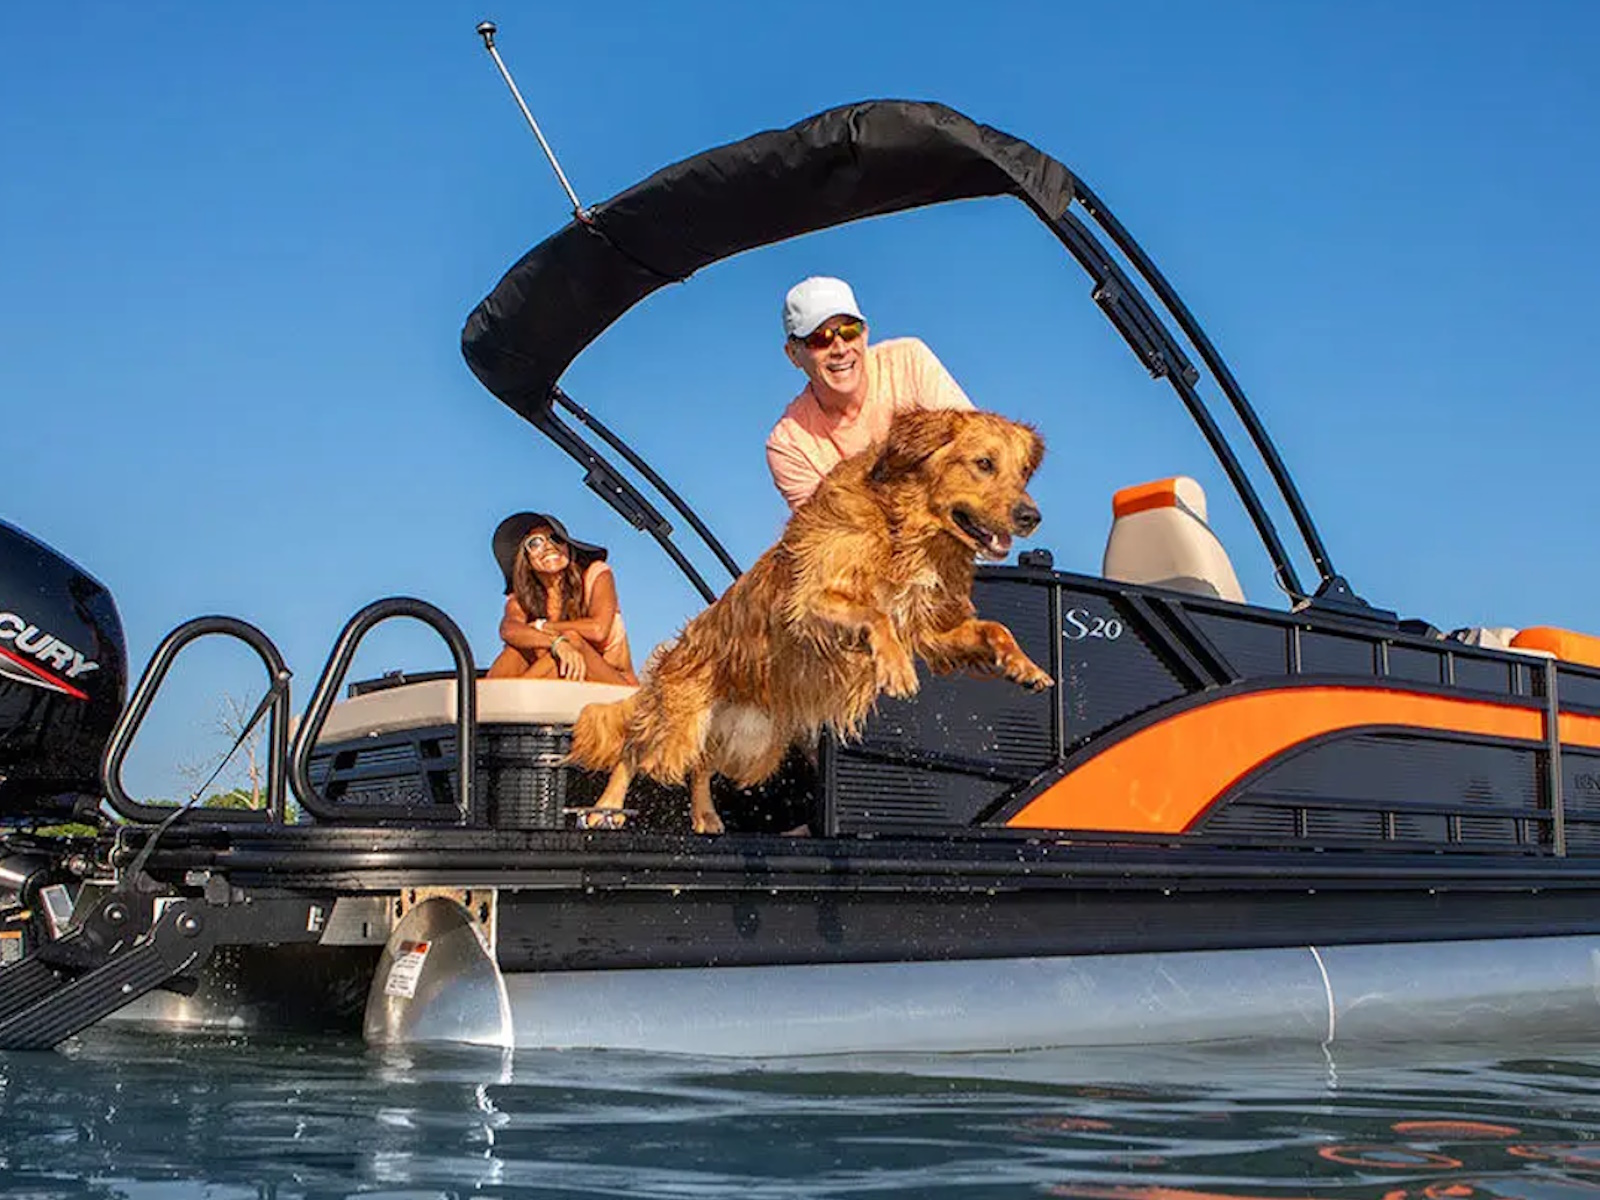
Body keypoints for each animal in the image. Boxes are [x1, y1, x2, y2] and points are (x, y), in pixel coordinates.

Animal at [567, 407, 1053, 834]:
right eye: (984, 464)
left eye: (1022, 473)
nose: (1032, 516)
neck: (902, 531)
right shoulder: (809, 604)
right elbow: (874, 613)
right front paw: (896, 669)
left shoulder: (929, 630)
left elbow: (994, 628)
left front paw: (1026, 667)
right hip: (679, 720)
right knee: (634, 750)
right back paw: (606, 808)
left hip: (748, 741)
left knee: (702, 763)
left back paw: (706, 816)